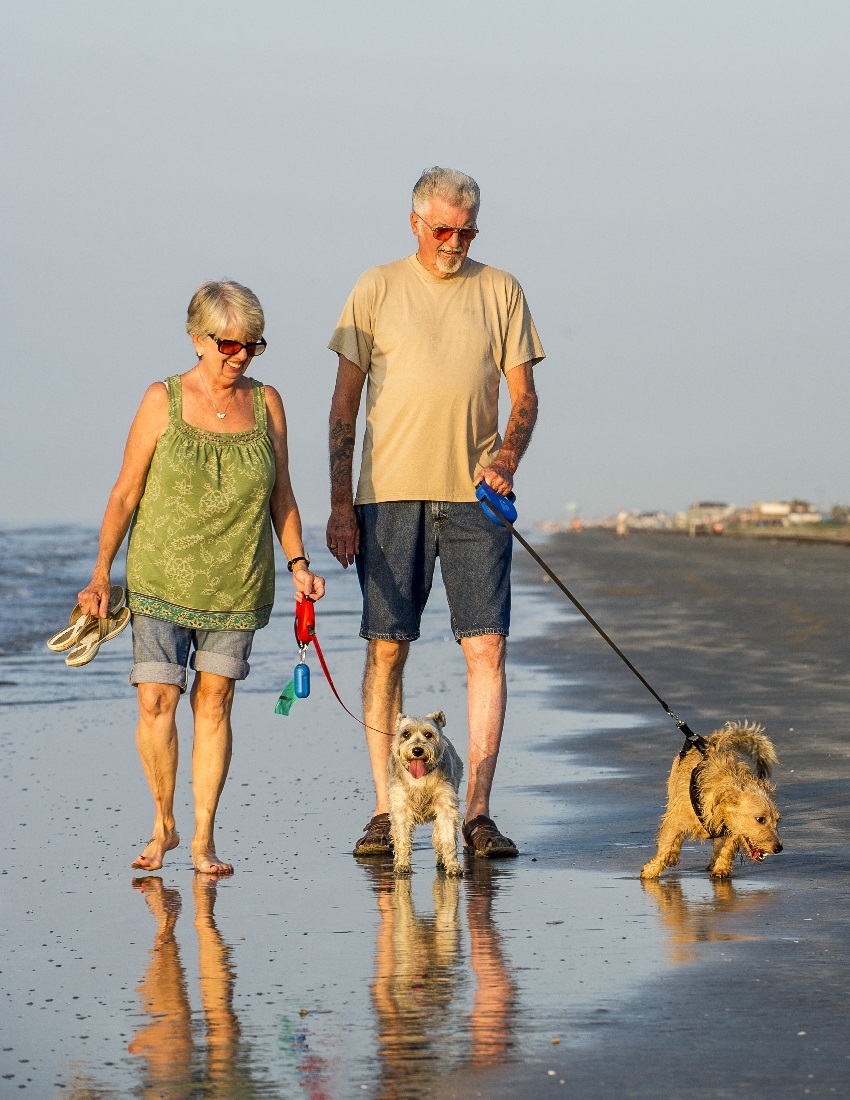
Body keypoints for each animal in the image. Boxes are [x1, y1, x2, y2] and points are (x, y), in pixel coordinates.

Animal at [387, 712, 461, 875]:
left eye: (428, 734)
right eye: (405, 734)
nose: (417, 751)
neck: (420, 779)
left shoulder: (446, 807)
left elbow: (448, 839)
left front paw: (453, 865)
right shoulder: (401, 809)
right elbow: (402, 839)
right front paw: (403, 864)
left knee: (438, 838)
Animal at [642, 717, 778, 880]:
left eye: (778, 821)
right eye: (760, 819)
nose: (779, 848)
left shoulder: (732, 827)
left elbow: (727, 848)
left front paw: (721, 868)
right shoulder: (676, 819)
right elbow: (667, 843)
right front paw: (652, 869)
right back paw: (673, 856)